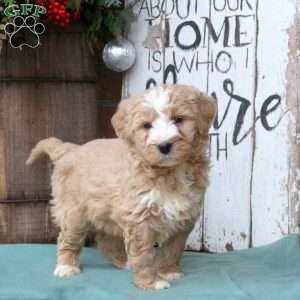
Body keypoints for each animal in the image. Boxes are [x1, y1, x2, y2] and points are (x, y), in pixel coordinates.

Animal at [26, 84, 216, 290]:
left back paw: (123, 262)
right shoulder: (140, 215)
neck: (168, 173)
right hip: (74, 212)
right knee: (67, 238)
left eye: (179, 119)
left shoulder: (184, 216)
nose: (164, 146)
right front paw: (151, 282)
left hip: (104, 211)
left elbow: (173, 248)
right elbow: (144, 253)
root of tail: (71, 150)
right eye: (146, 125)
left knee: (105, 239)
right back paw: (66, 267)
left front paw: (169, 271)